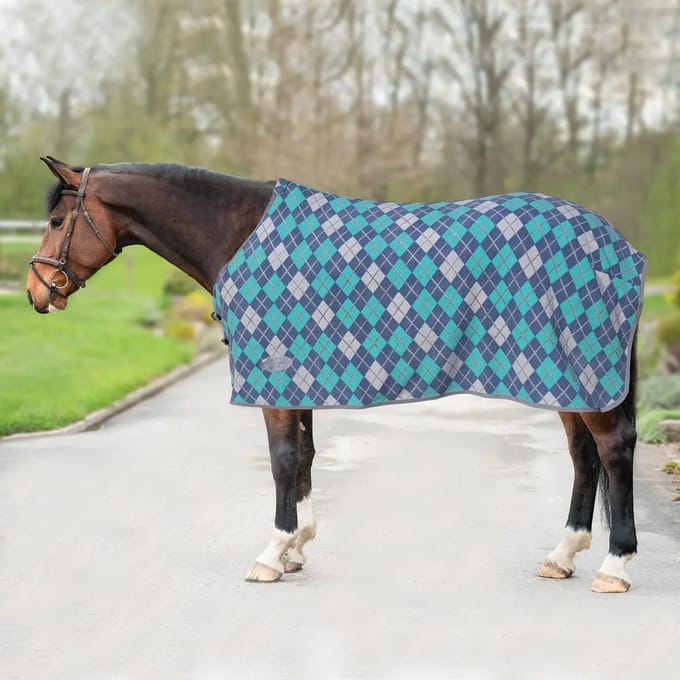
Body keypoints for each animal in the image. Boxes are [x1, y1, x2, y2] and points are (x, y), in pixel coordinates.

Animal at [26, 157, 642, 593]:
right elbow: (303, 456)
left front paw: (270, 555)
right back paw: (561, 556)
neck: (239, 233)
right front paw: (298, 547)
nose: (35, 292)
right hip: (565, 379)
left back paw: (615, 566)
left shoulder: (274, 377)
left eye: (56, 221)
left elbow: (280, 460)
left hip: (582, 374)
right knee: (584, 457)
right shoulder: (298, 377)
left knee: (612, 449)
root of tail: (620, 249)